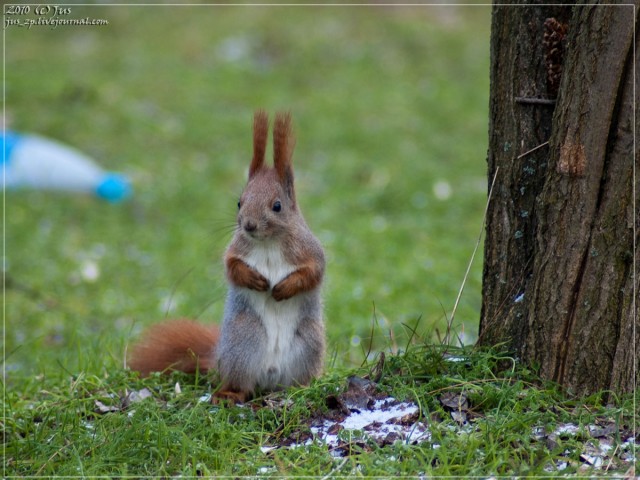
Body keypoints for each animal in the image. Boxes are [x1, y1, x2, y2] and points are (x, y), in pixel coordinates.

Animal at [129, 110, 324, 404]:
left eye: (277, 206)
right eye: (239, 202)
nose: (249, 225)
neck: (268, 243)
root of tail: (271, 377)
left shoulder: (309, 251)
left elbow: (313, 273)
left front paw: (283, 288)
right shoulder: (236, 250)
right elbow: (231, 267)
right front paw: (254, 280)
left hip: (308, 343)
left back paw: (302, 388)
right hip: (244, 340)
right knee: (241, 383)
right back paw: (230, 393)